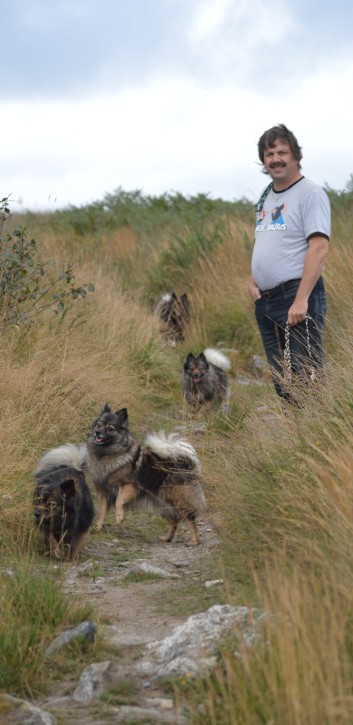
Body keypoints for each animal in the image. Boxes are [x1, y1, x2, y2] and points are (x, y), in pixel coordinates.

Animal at [85, 402, 206, 544]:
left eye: (110, 428)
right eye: (99, 424)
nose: (97, 432)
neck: (107, 453)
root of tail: (184, 461)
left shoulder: (128, 485)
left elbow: (119, 501)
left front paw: (119, 517)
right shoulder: (103, 492)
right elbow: (102, 512)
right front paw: (98, 528)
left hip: (177, 499)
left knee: (189, 518)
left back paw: (194, 541)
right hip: (162, 503)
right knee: (174, 520)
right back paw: (167, 538)